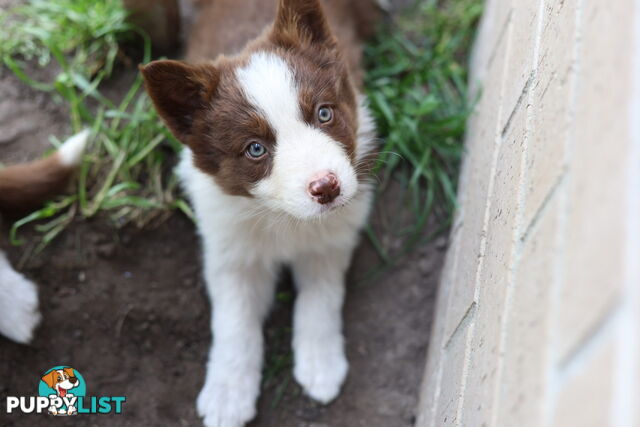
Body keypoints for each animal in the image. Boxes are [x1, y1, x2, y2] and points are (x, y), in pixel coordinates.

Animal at [141, 1, 380, 426]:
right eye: (255, 149)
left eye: (324, 114)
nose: (327, 187)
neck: (283, 217)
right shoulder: (229, 248)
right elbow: (234, 321)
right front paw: (227, 394)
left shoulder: (333, 236)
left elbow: (322, 295)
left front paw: (321, 364)